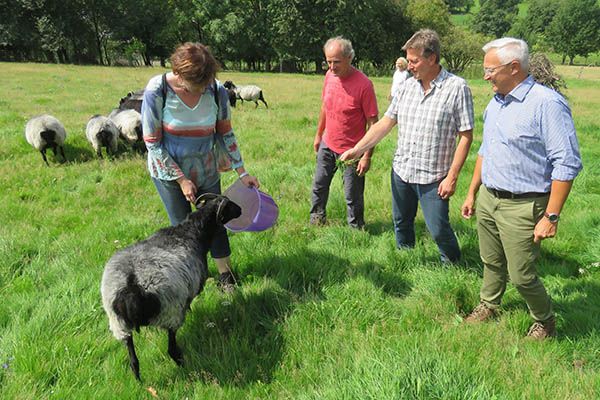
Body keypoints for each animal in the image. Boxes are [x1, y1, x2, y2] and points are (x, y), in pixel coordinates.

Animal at [99, 194, 240, 382]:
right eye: (229, 205)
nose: (241, 209)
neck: (192, 231)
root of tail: (132, 286)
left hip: (120, 324)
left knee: (133, 360)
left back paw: (139, 382)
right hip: (170, 313)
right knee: (171, 349)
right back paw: (187, 367)